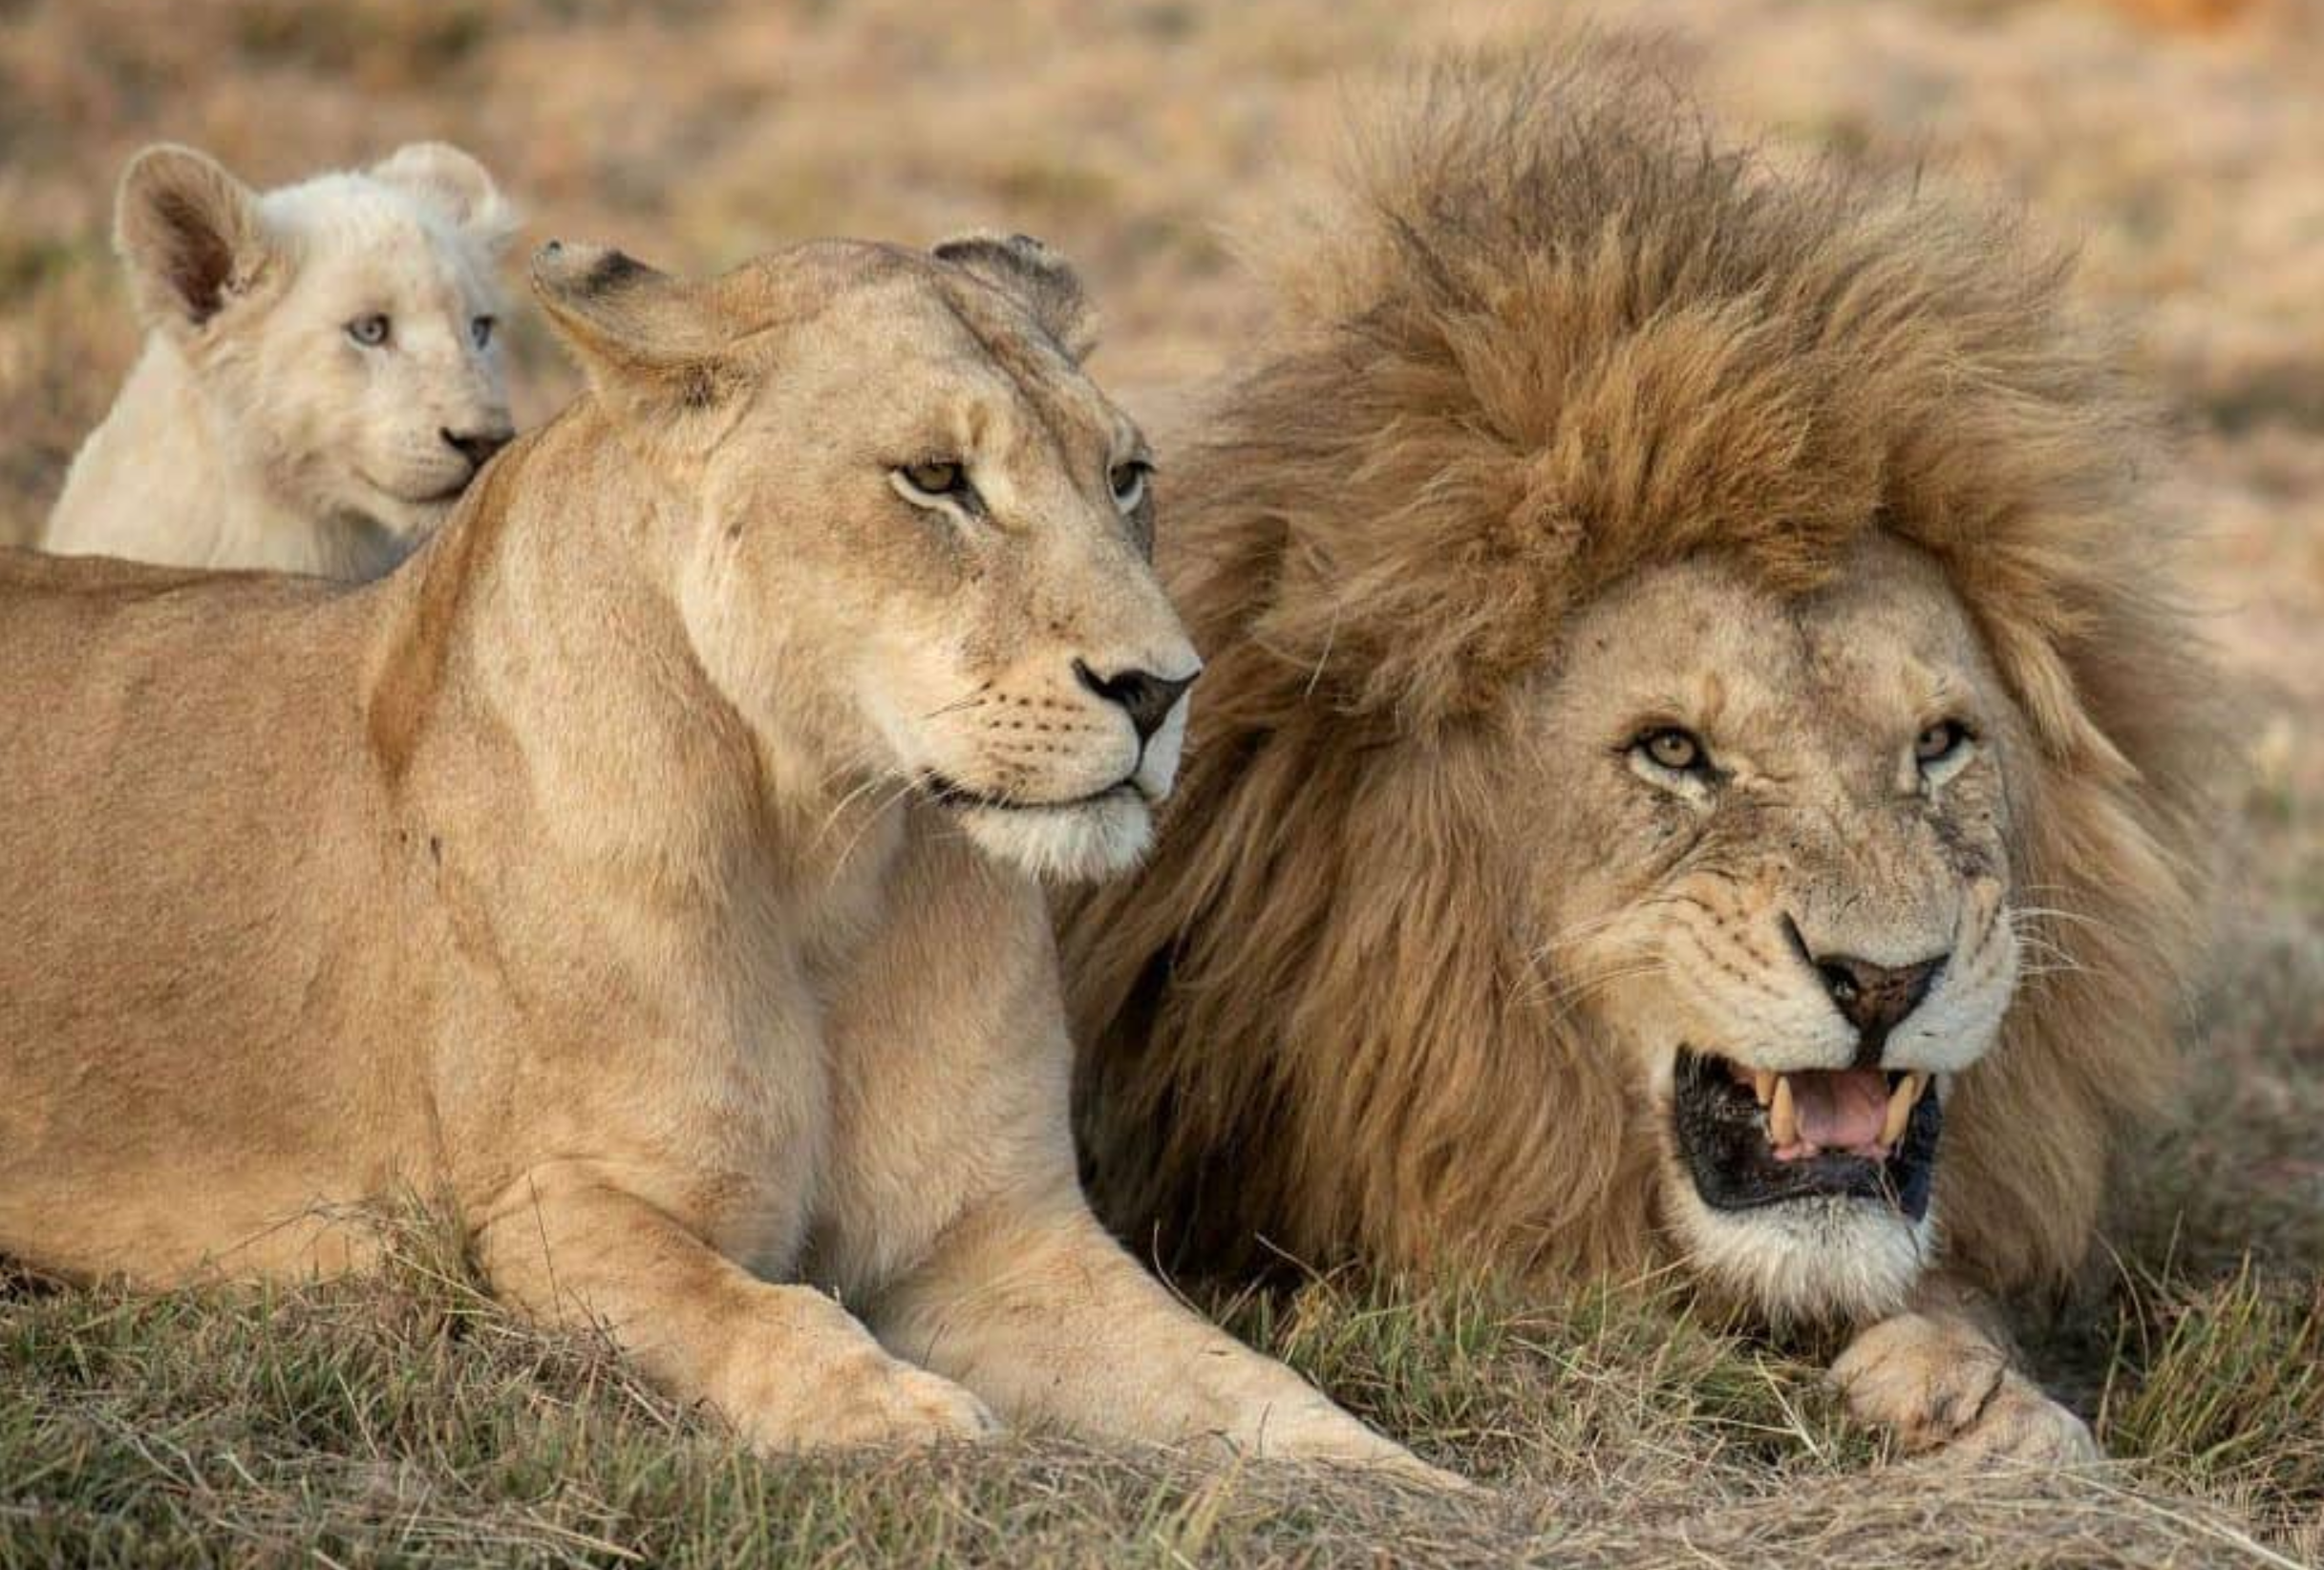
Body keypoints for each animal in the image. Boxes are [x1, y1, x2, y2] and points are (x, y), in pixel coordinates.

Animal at [0, 226, 1431, 1476]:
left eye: (1126, 476)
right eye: (935, 480)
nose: (1161, 689)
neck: (831, 859)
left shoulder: (996, 1236)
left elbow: (1240, 1381)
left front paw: (1399, 1482)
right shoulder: (540, 1212)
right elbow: (761, 1311)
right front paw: (908, 1420)